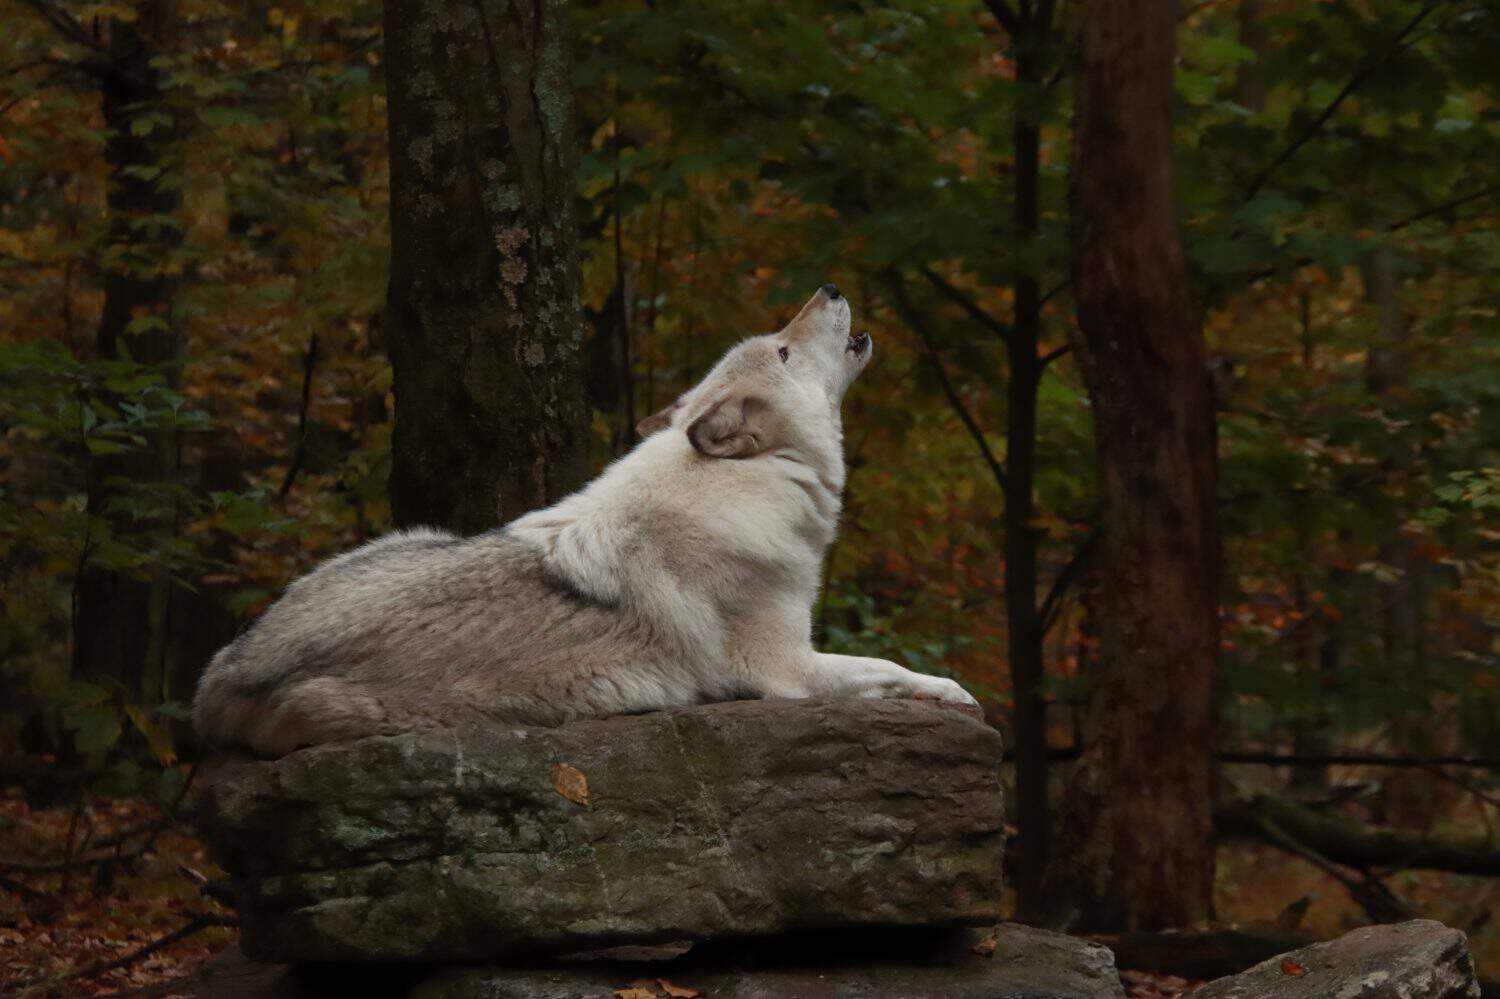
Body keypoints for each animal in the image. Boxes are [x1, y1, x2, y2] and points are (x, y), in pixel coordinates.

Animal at [193, 286, 978, 756]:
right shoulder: (783, 669)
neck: (752, 480)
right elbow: (885, 667)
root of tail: (217, 678)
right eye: (783, 348)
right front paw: (954, 693)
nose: (831, 289)